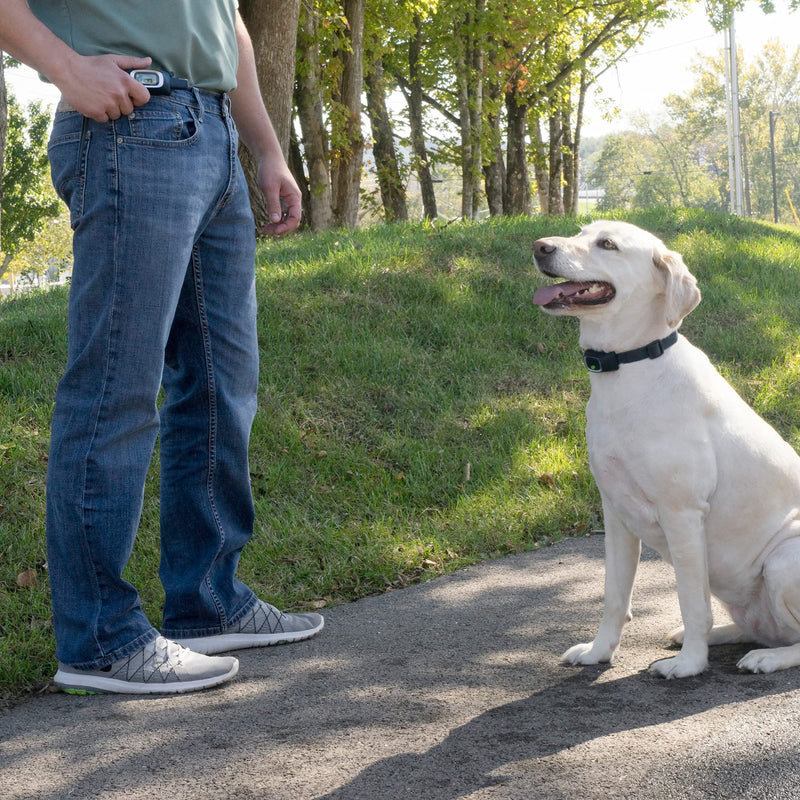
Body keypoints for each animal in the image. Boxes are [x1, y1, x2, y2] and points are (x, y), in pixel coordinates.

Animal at [532, 219, 800, 676]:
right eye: (580, 232)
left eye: (607, 244)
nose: (539, 247)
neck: (628, 368)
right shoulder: (615, 512)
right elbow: (614, 597)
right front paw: (599, 652)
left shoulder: (683, 514)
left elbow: (692, 602)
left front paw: (690, 664)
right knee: (759, 627)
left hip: (784, 557)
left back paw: (765, 657)